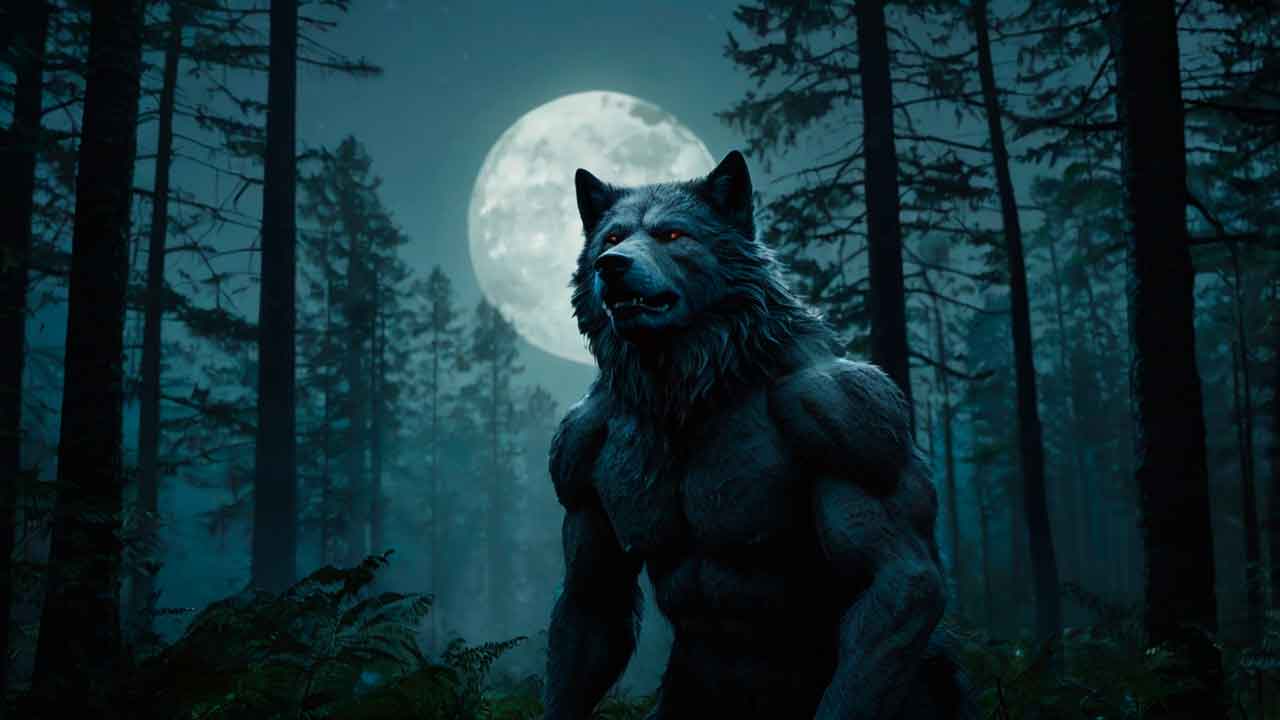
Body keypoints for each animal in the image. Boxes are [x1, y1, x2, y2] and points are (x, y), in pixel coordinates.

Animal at [542, 150, 975, 719]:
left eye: (672, 235)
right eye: (612, 238)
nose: (610, 266)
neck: (689, 390)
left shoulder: (849, 417)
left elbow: (895, 574)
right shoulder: (578, 450)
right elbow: (593, 595)